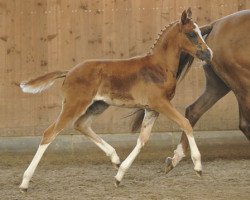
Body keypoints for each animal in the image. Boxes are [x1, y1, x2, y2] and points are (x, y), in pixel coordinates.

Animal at [18, 8, 212, 191]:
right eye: (192, 34)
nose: (208, 54)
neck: (159, 67)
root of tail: (69, 72)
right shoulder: (161, 103)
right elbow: (185, 123)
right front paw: (198, 166)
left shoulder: (151, 109)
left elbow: (142, 140)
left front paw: (119, 176)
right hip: (74, 105)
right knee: (49, 133)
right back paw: (25, 182)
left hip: (98, 105)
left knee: (81, 125)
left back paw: (115, 159)